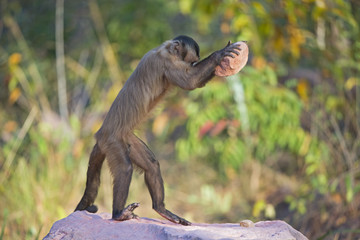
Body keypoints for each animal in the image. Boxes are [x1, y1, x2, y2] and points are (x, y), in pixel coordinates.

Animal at [74, 35, 240, 225]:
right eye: (191, 63)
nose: (192, 65)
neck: (164, 49)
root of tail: (100, 134)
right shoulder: (166, 62)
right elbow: (190, 82)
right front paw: (220, 54)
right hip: (112, 141)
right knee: (125, 168)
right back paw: (118, 214)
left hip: (126, 138)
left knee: (152, 165)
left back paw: (161, 209)